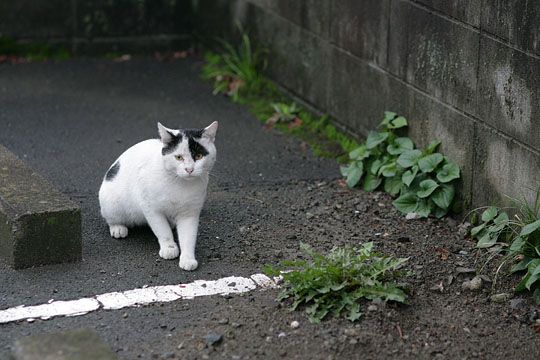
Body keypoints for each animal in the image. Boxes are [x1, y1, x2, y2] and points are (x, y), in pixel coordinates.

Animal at [98, 121, 218, 270]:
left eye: (199, 156)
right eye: (178, 157)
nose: (189, 169)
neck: (180, 183)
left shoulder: (190, 213)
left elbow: (188, 237)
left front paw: (188, 258)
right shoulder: (151, 208)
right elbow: (162, 229)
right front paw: (169, 247)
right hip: (111, 203)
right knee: (111, 218)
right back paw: (118, 228)